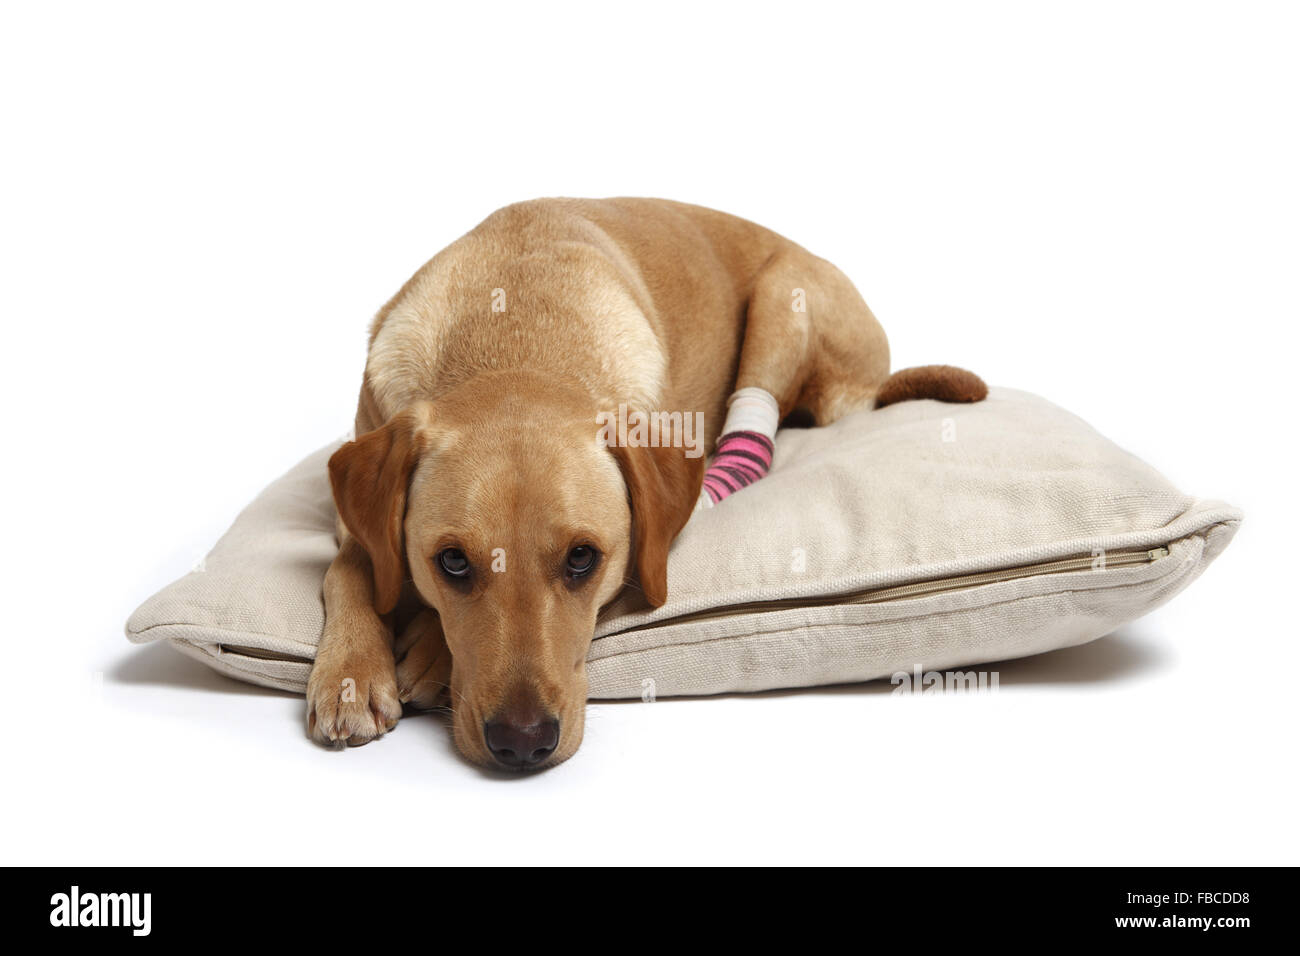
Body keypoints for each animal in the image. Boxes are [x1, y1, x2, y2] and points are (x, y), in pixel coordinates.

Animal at [306, 200, 982, 770]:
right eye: (451, 562)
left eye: (583, 559)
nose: (522, 744)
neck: (514, 337)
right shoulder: (353, 507)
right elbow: (350, 567)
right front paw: (351, 671)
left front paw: (427, 650)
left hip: (783, 294)